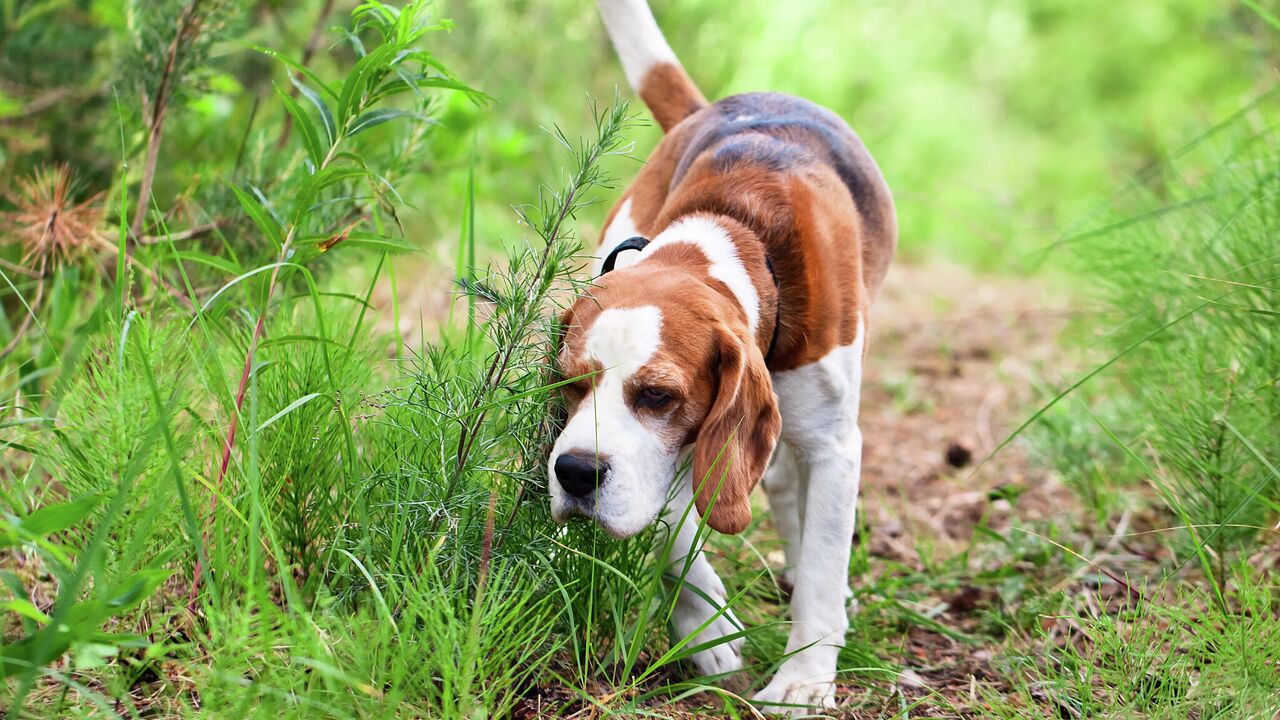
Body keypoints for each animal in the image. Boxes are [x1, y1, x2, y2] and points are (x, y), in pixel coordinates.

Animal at [545, 0, 896, 707]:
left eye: (657, 395)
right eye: (568, 386)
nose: (573, 473)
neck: (734, 232)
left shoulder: (834, 444)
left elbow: (822, 568)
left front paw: (803, 680)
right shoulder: (673, 454)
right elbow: (675, 531)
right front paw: (707, 627)